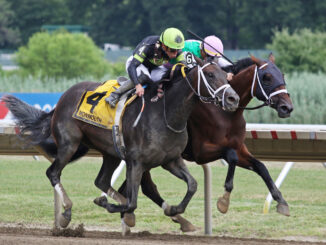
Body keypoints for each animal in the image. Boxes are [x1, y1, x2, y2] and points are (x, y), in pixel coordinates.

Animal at [3, 56, 239, 229]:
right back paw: (66, 212)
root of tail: (62, 97)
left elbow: (192, 185)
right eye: (210, 74)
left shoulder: (170, 160)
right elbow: (133, 201)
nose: (233, 99)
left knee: (101, 181)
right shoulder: (136, 162)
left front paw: (173, 210)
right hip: (70, 144)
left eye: (225, 75)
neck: (166, 114)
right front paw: (109, 204)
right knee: (53, 173)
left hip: (111, 152)